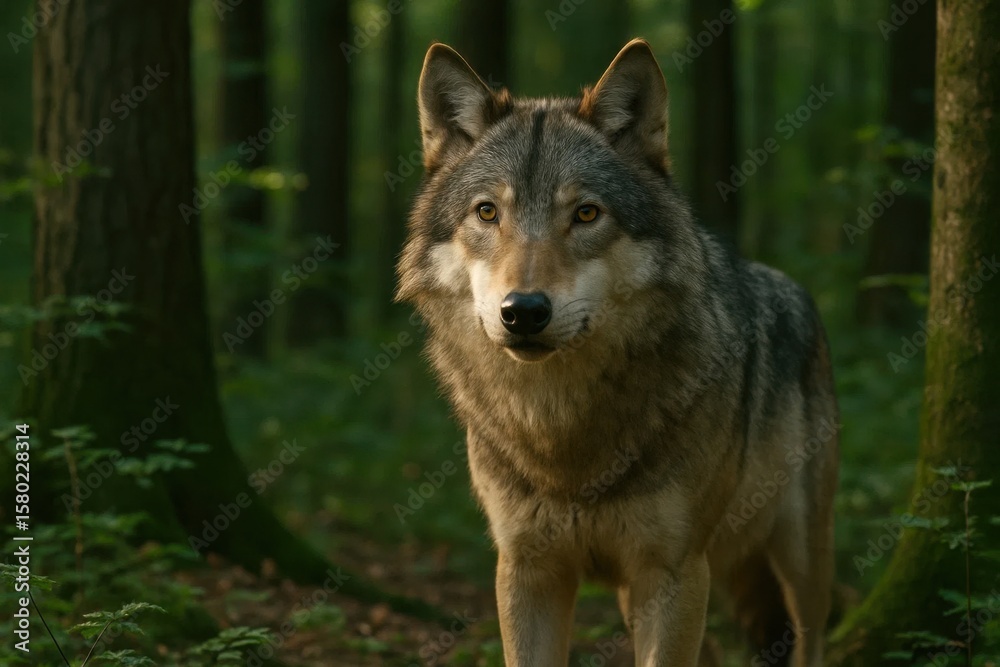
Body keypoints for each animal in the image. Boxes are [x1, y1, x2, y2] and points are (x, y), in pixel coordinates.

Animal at [396, 39, 839, 667]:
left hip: (799, 561)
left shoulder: (674, 572)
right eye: (487, 212)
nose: (523, 310)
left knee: (810, 635)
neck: (563, 434)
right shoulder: (527, 571)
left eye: (586, 213)